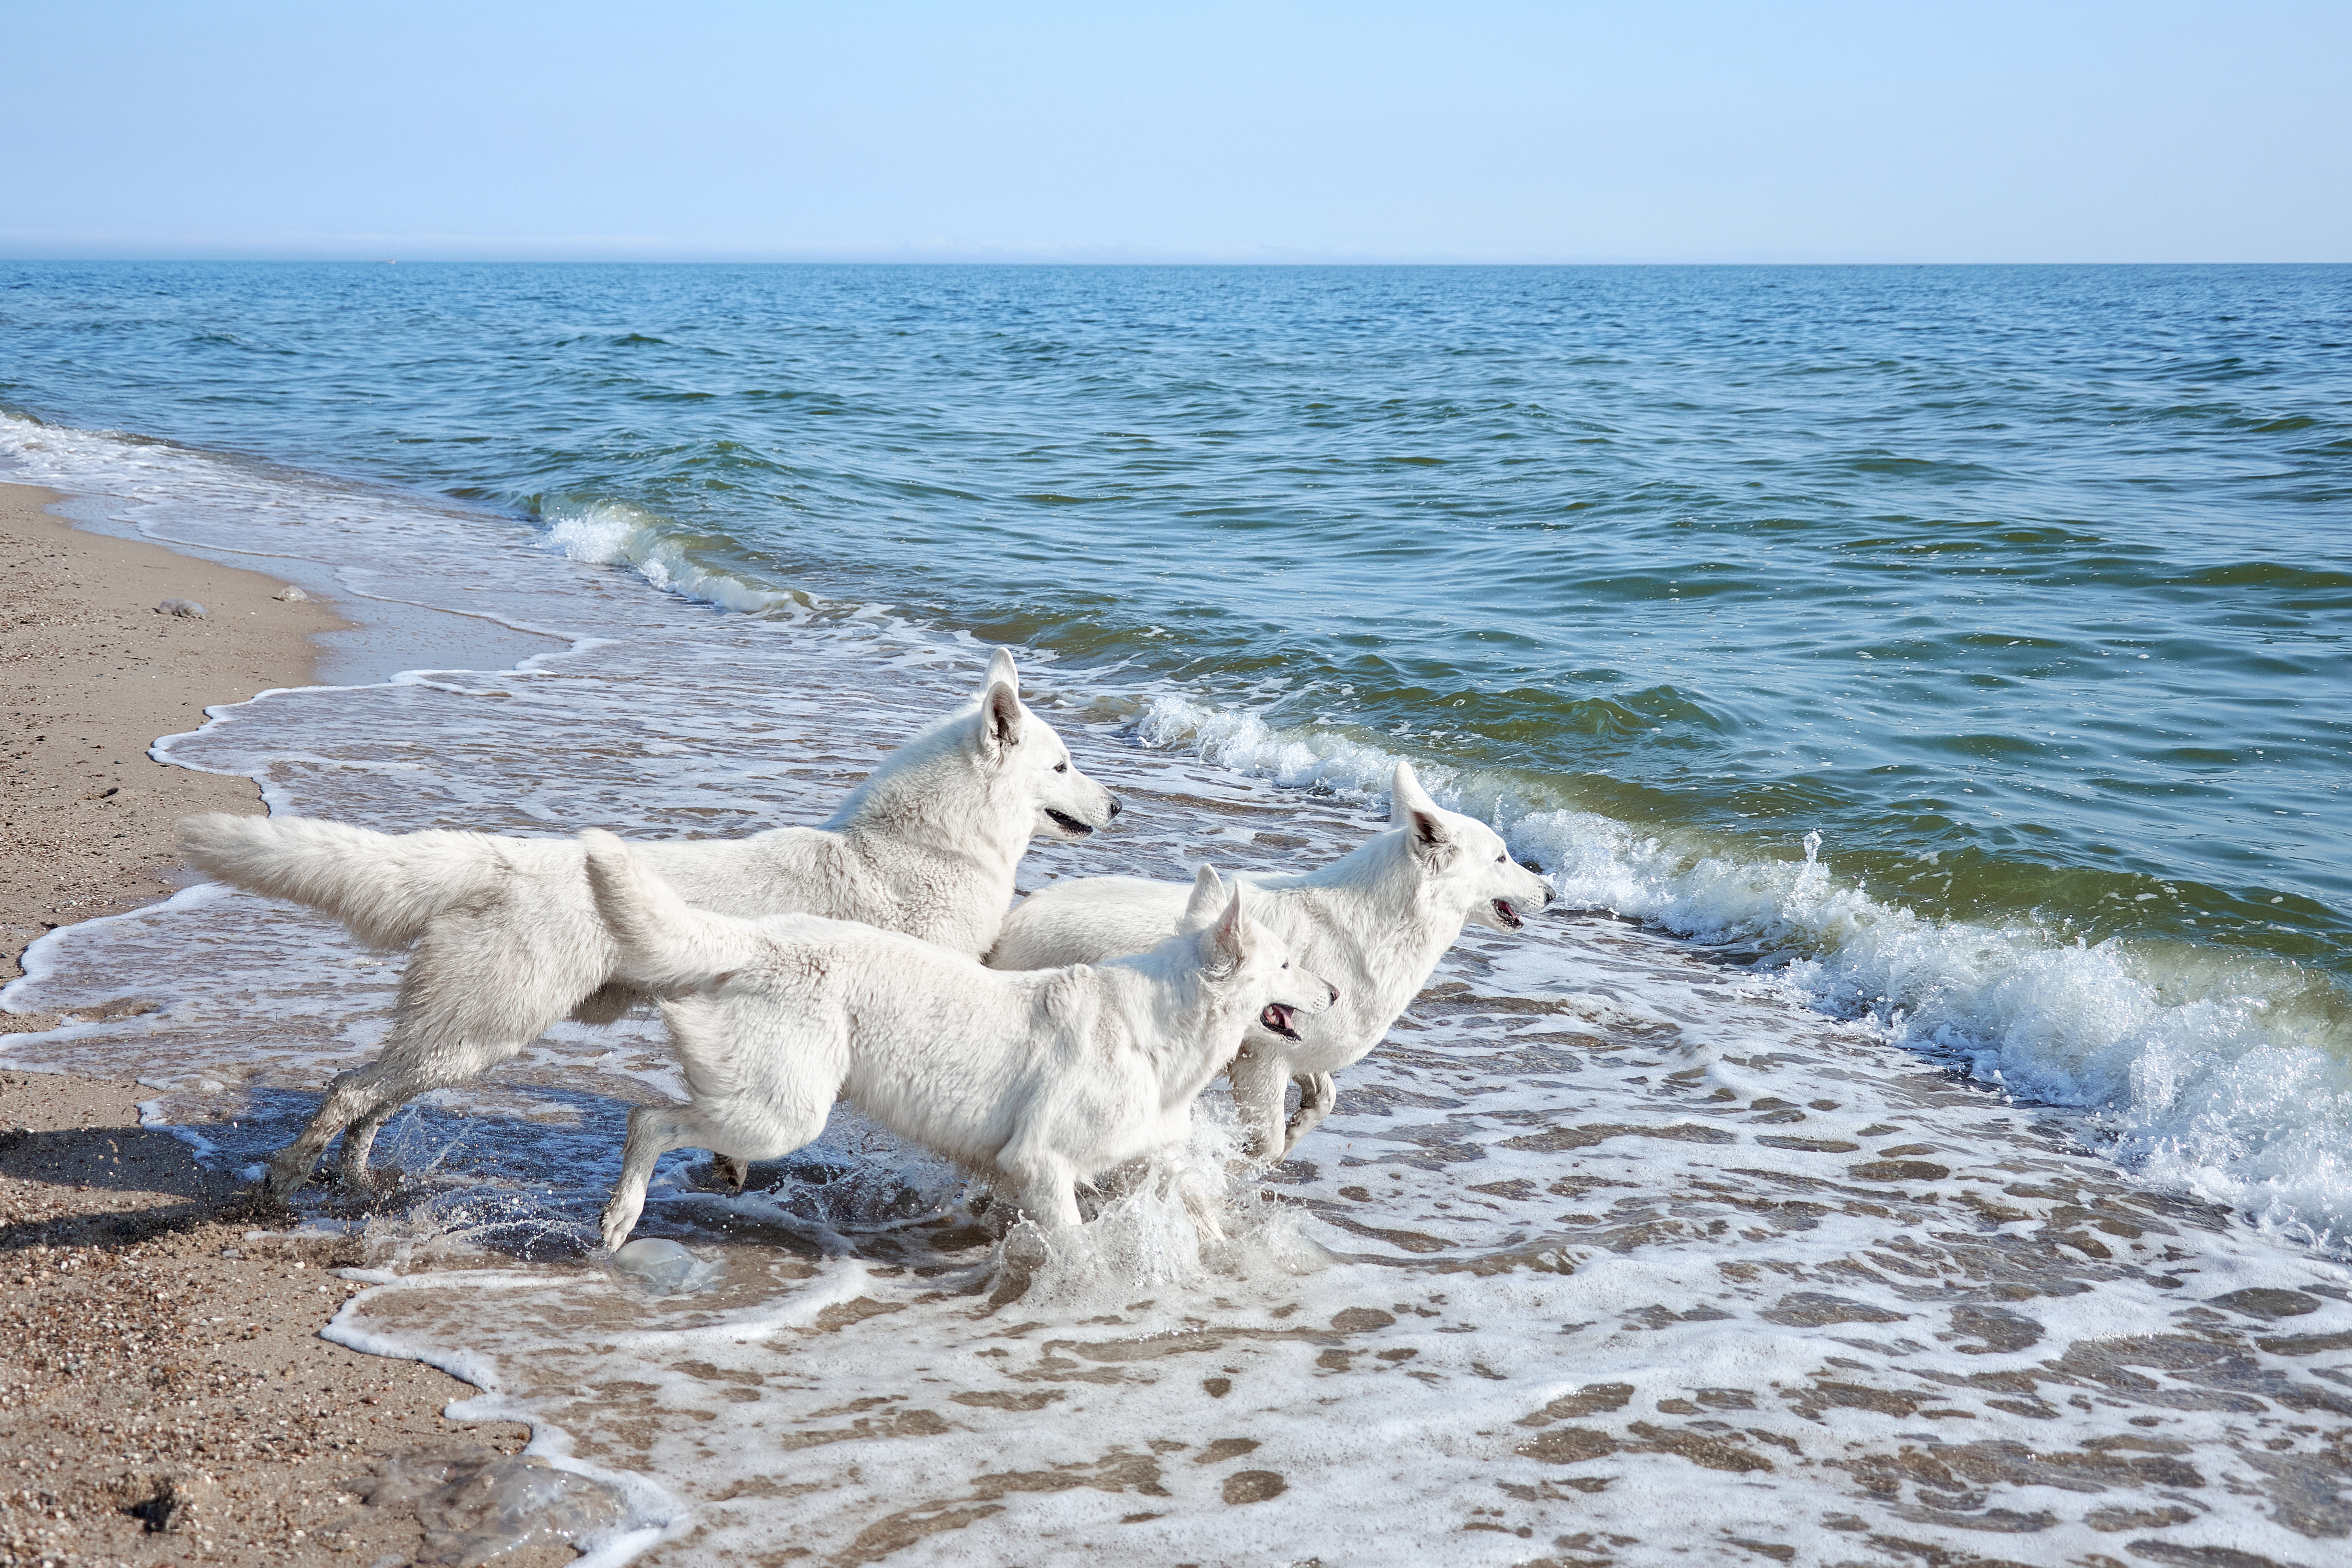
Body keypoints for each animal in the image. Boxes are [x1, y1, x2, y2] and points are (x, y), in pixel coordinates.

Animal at [179, 649, 1114, 1203]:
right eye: (1063, 764)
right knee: (350, 1087)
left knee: (374, 1093)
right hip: (486, 1027)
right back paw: (289, 1176)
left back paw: (360, 1178)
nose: (1120, 806)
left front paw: (731, 1164)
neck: (922, 843)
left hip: (465, 1034)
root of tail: (500, 858)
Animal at [576, 832, 1336, 1250]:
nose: (1333, 994)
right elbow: (1075, 1239)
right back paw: (621, 1216)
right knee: (648, 1118)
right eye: (1287, 964)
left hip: (773, 1102)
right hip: (786, 1115)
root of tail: (762, 938)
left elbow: (1200, 1205)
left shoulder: (1151, 1153)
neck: (1160, 1030)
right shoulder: (1042, 1163)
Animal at [988, 761, 1552, 1166]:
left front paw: (1297, 1129)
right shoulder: (1261, 1061)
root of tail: (1010, 924)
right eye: (1502, 858)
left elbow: (1322, 1101)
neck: (1384, 922)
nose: (1551, 892)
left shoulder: (1301, 1047)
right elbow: (1268, 1143)